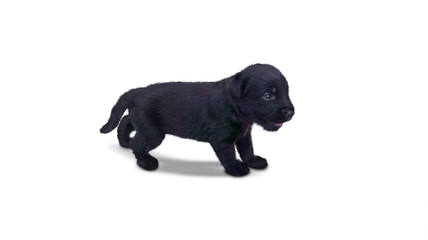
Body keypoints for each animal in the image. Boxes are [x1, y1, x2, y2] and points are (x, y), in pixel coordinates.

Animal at [100, 63, 294, 176]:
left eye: (286, 92)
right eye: (268, 96)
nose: (291, 112)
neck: (238, 110)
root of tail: (137, 91)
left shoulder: (244, 134)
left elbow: (247, 149)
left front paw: (253, 161)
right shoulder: (222, 139)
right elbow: (229, 155)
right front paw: (236, 168)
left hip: (143, 122)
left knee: (126, 121)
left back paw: (124, 141)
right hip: (153, 132)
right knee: (137, 143)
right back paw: (146, 162)